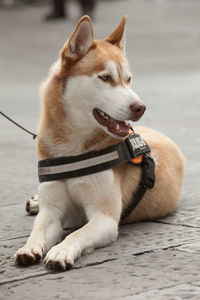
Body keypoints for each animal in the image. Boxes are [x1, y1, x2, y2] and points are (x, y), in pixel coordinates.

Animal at [14, 15, 185, 270]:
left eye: (128, 79)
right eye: (105, 77)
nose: (141, 107)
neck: (73, 150)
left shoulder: (104, 218)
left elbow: (77, 234)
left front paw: (61, 250)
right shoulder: (52, 210)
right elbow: (37, 230)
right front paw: (29, 248)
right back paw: (34, 203)